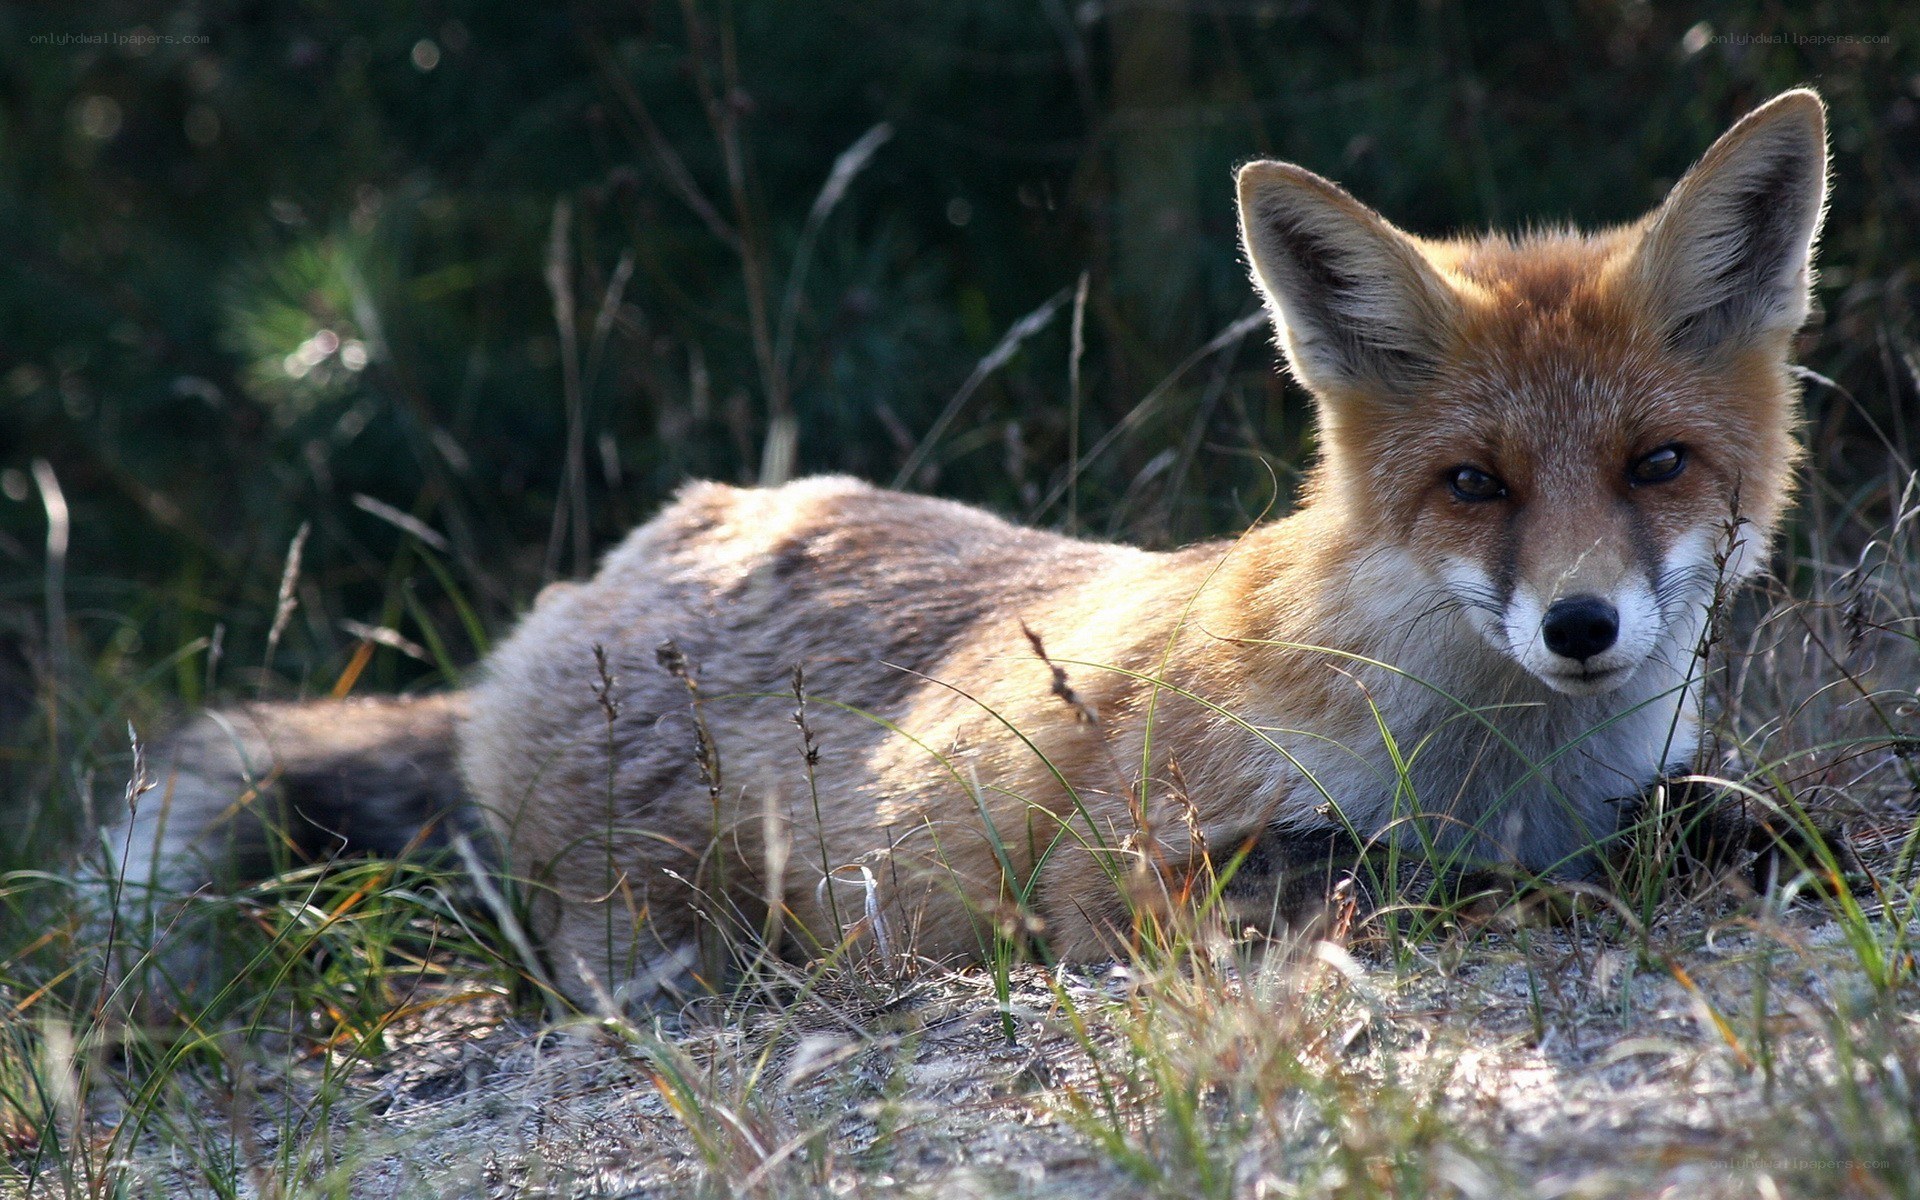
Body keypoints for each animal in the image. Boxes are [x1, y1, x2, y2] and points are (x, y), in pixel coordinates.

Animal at [105, 90, 1828, 1010]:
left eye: (1656, 465)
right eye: (1475, 483)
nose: (1582, 627)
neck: (1502, 757)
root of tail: (643, 543)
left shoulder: (1644, 769)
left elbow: (1732, 814)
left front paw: (1781, 850)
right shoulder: (1123, 878)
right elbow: (1407, 875)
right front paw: (1548, 891)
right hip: (663, 922)